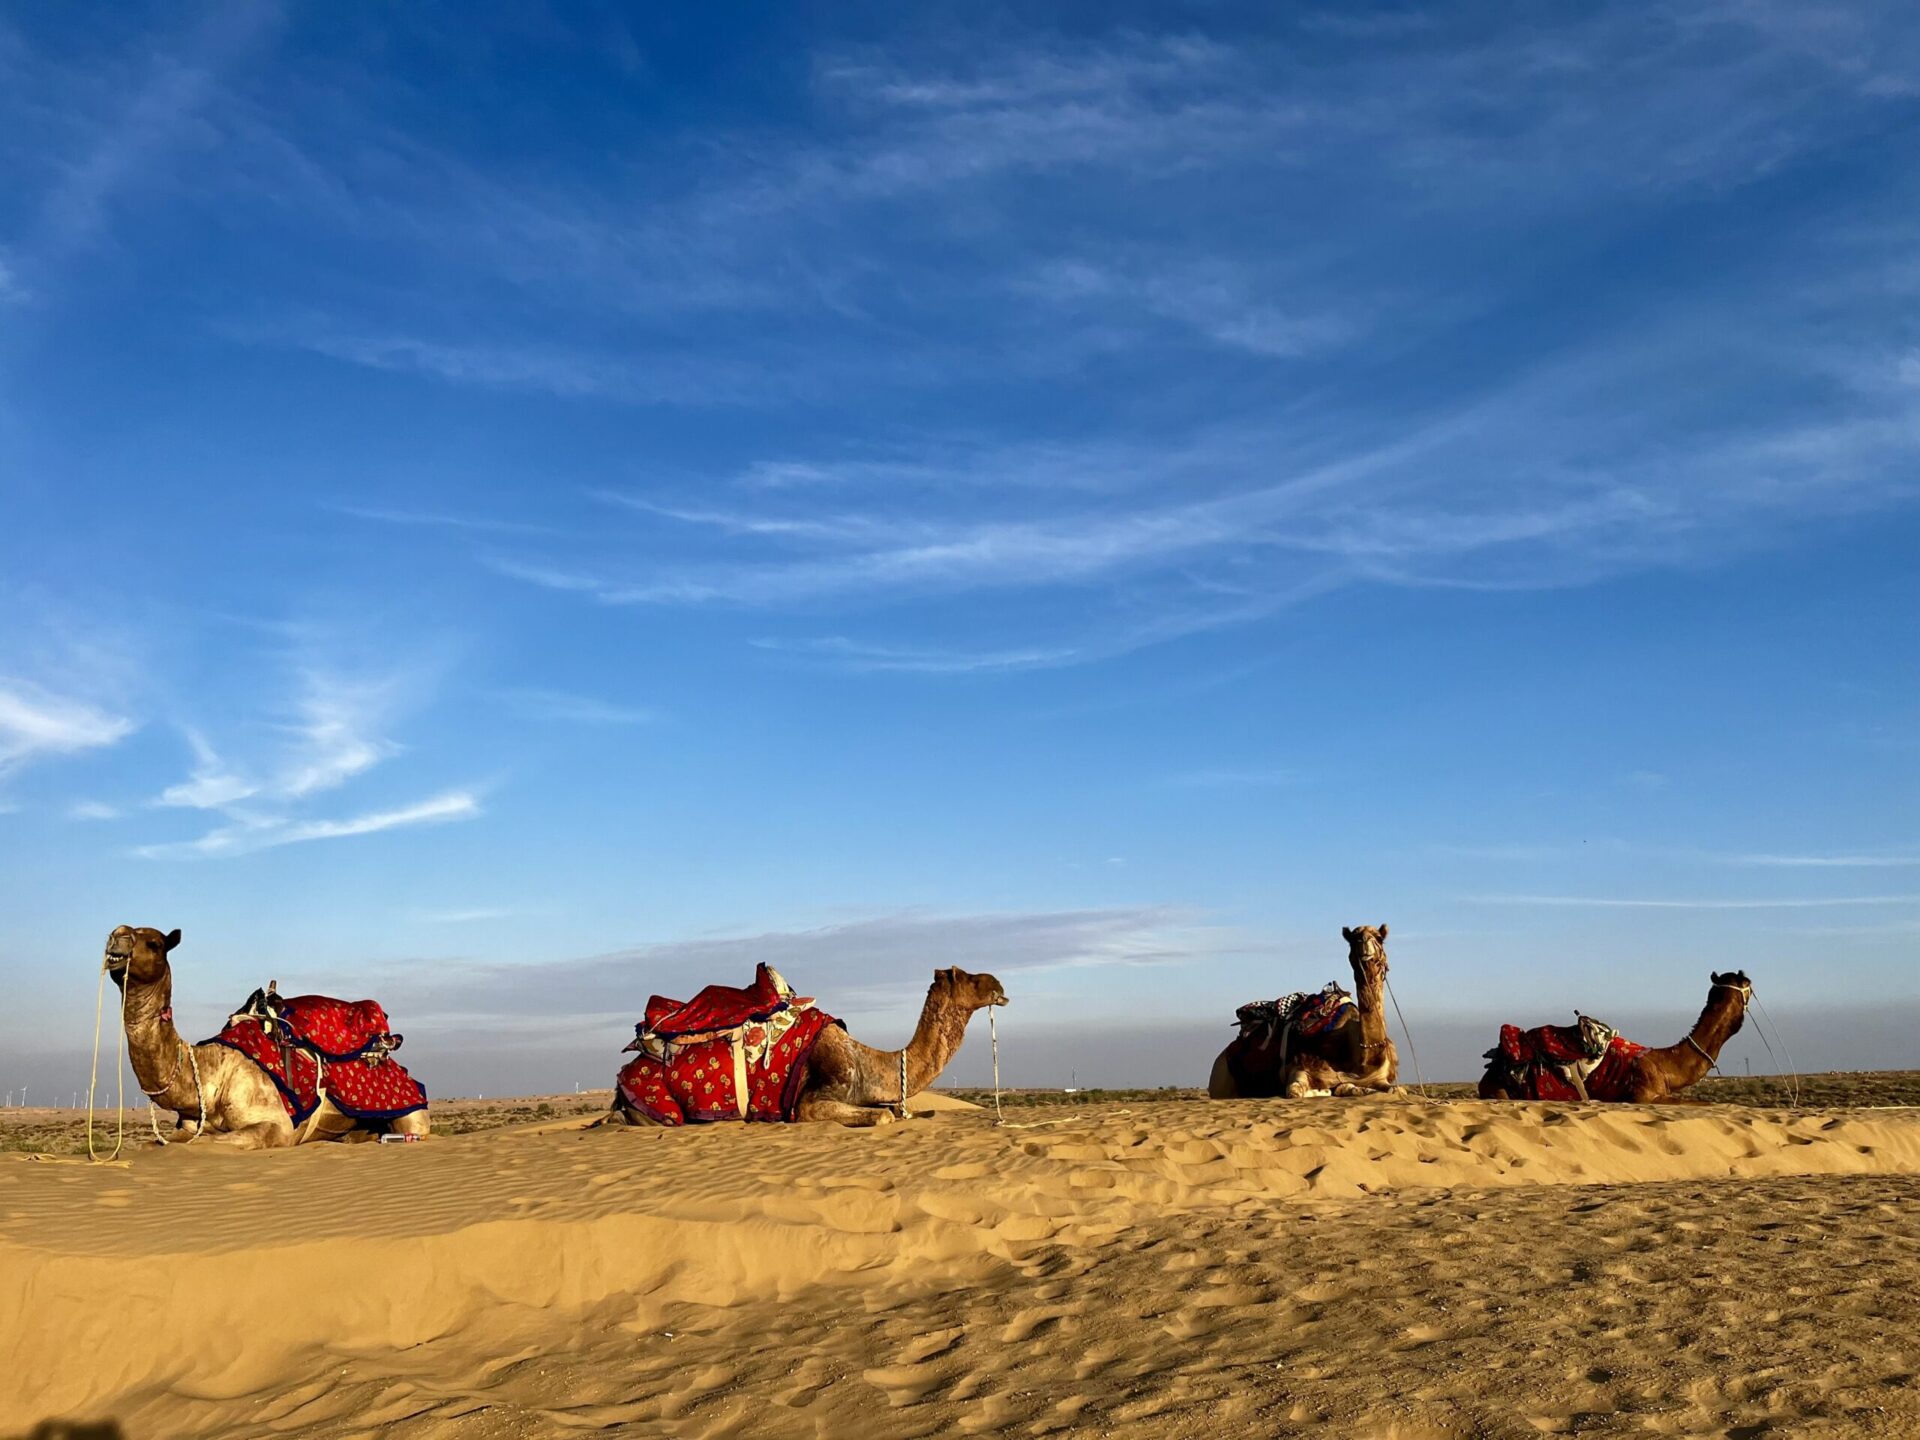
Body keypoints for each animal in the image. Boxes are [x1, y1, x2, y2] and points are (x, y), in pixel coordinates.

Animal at [102, 929, 432, 1159]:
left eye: (154, 943)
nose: (116, 936)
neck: (211, 1073)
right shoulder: (186, 1127)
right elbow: (151, 1145)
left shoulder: (276, 1124)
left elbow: (209, 1143)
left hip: (412, 1113)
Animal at [614, 963, 1013, 1136]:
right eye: (967, 977)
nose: (999, 984)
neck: (868, 1062)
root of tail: (621, 1081)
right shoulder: (809, 1102)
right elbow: (883, 1116)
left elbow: (893, 1111)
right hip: (661, 1108)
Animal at [1205, 929, 1405, 1098]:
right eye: (1353, 938)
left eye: (1379, 937)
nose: (1363, 941)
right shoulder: (1299, 1067)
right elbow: (1296, 1091)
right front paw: (1334, 1089)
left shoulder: (1381, 1077)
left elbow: (1397, 1090)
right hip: (1221, 1080)